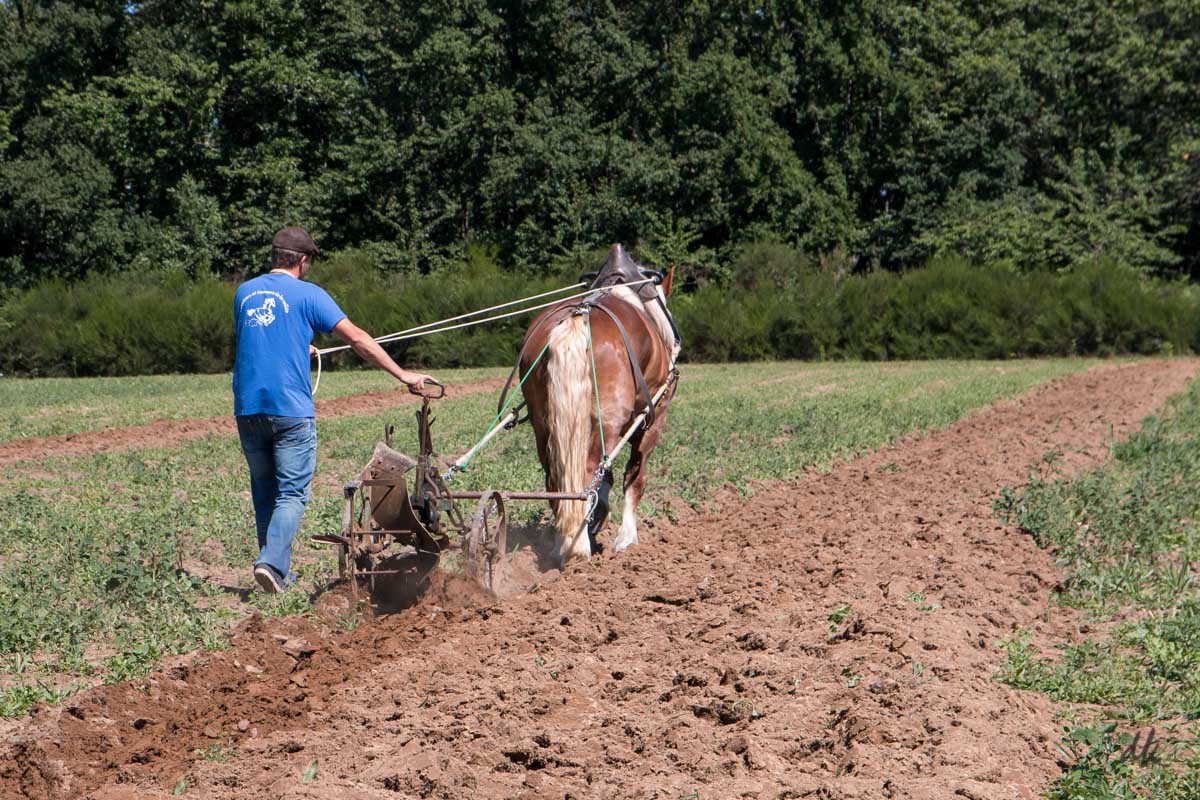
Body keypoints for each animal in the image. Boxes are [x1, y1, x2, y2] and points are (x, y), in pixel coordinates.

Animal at [517, 244, 680, 565]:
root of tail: (577, 319)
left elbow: (609, 477)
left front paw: (598, 518)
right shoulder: (653, 418)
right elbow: (634, 476)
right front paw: (626, 538)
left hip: (545, 425)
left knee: (557, 477)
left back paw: (564, 539)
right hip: (608, 420)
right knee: (589, 472)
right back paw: (578, 545)